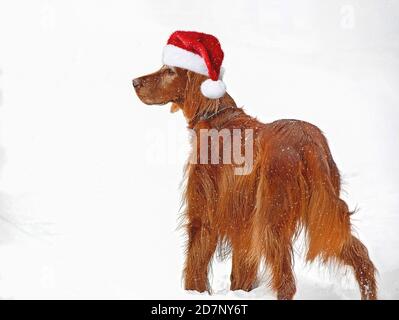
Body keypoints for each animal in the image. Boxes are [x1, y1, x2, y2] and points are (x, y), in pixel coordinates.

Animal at [134, 33, 378, 298]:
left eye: (169, 71)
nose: (135, 82)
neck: (215, 116)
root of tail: (309, 142)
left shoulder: (203, 214)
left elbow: (194, 266)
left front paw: (192, 293)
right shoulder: (243, 224)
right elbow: (241, 273)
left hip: (272, 219)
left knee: (287, 282)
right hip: (322, 214)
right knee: (361, 256)